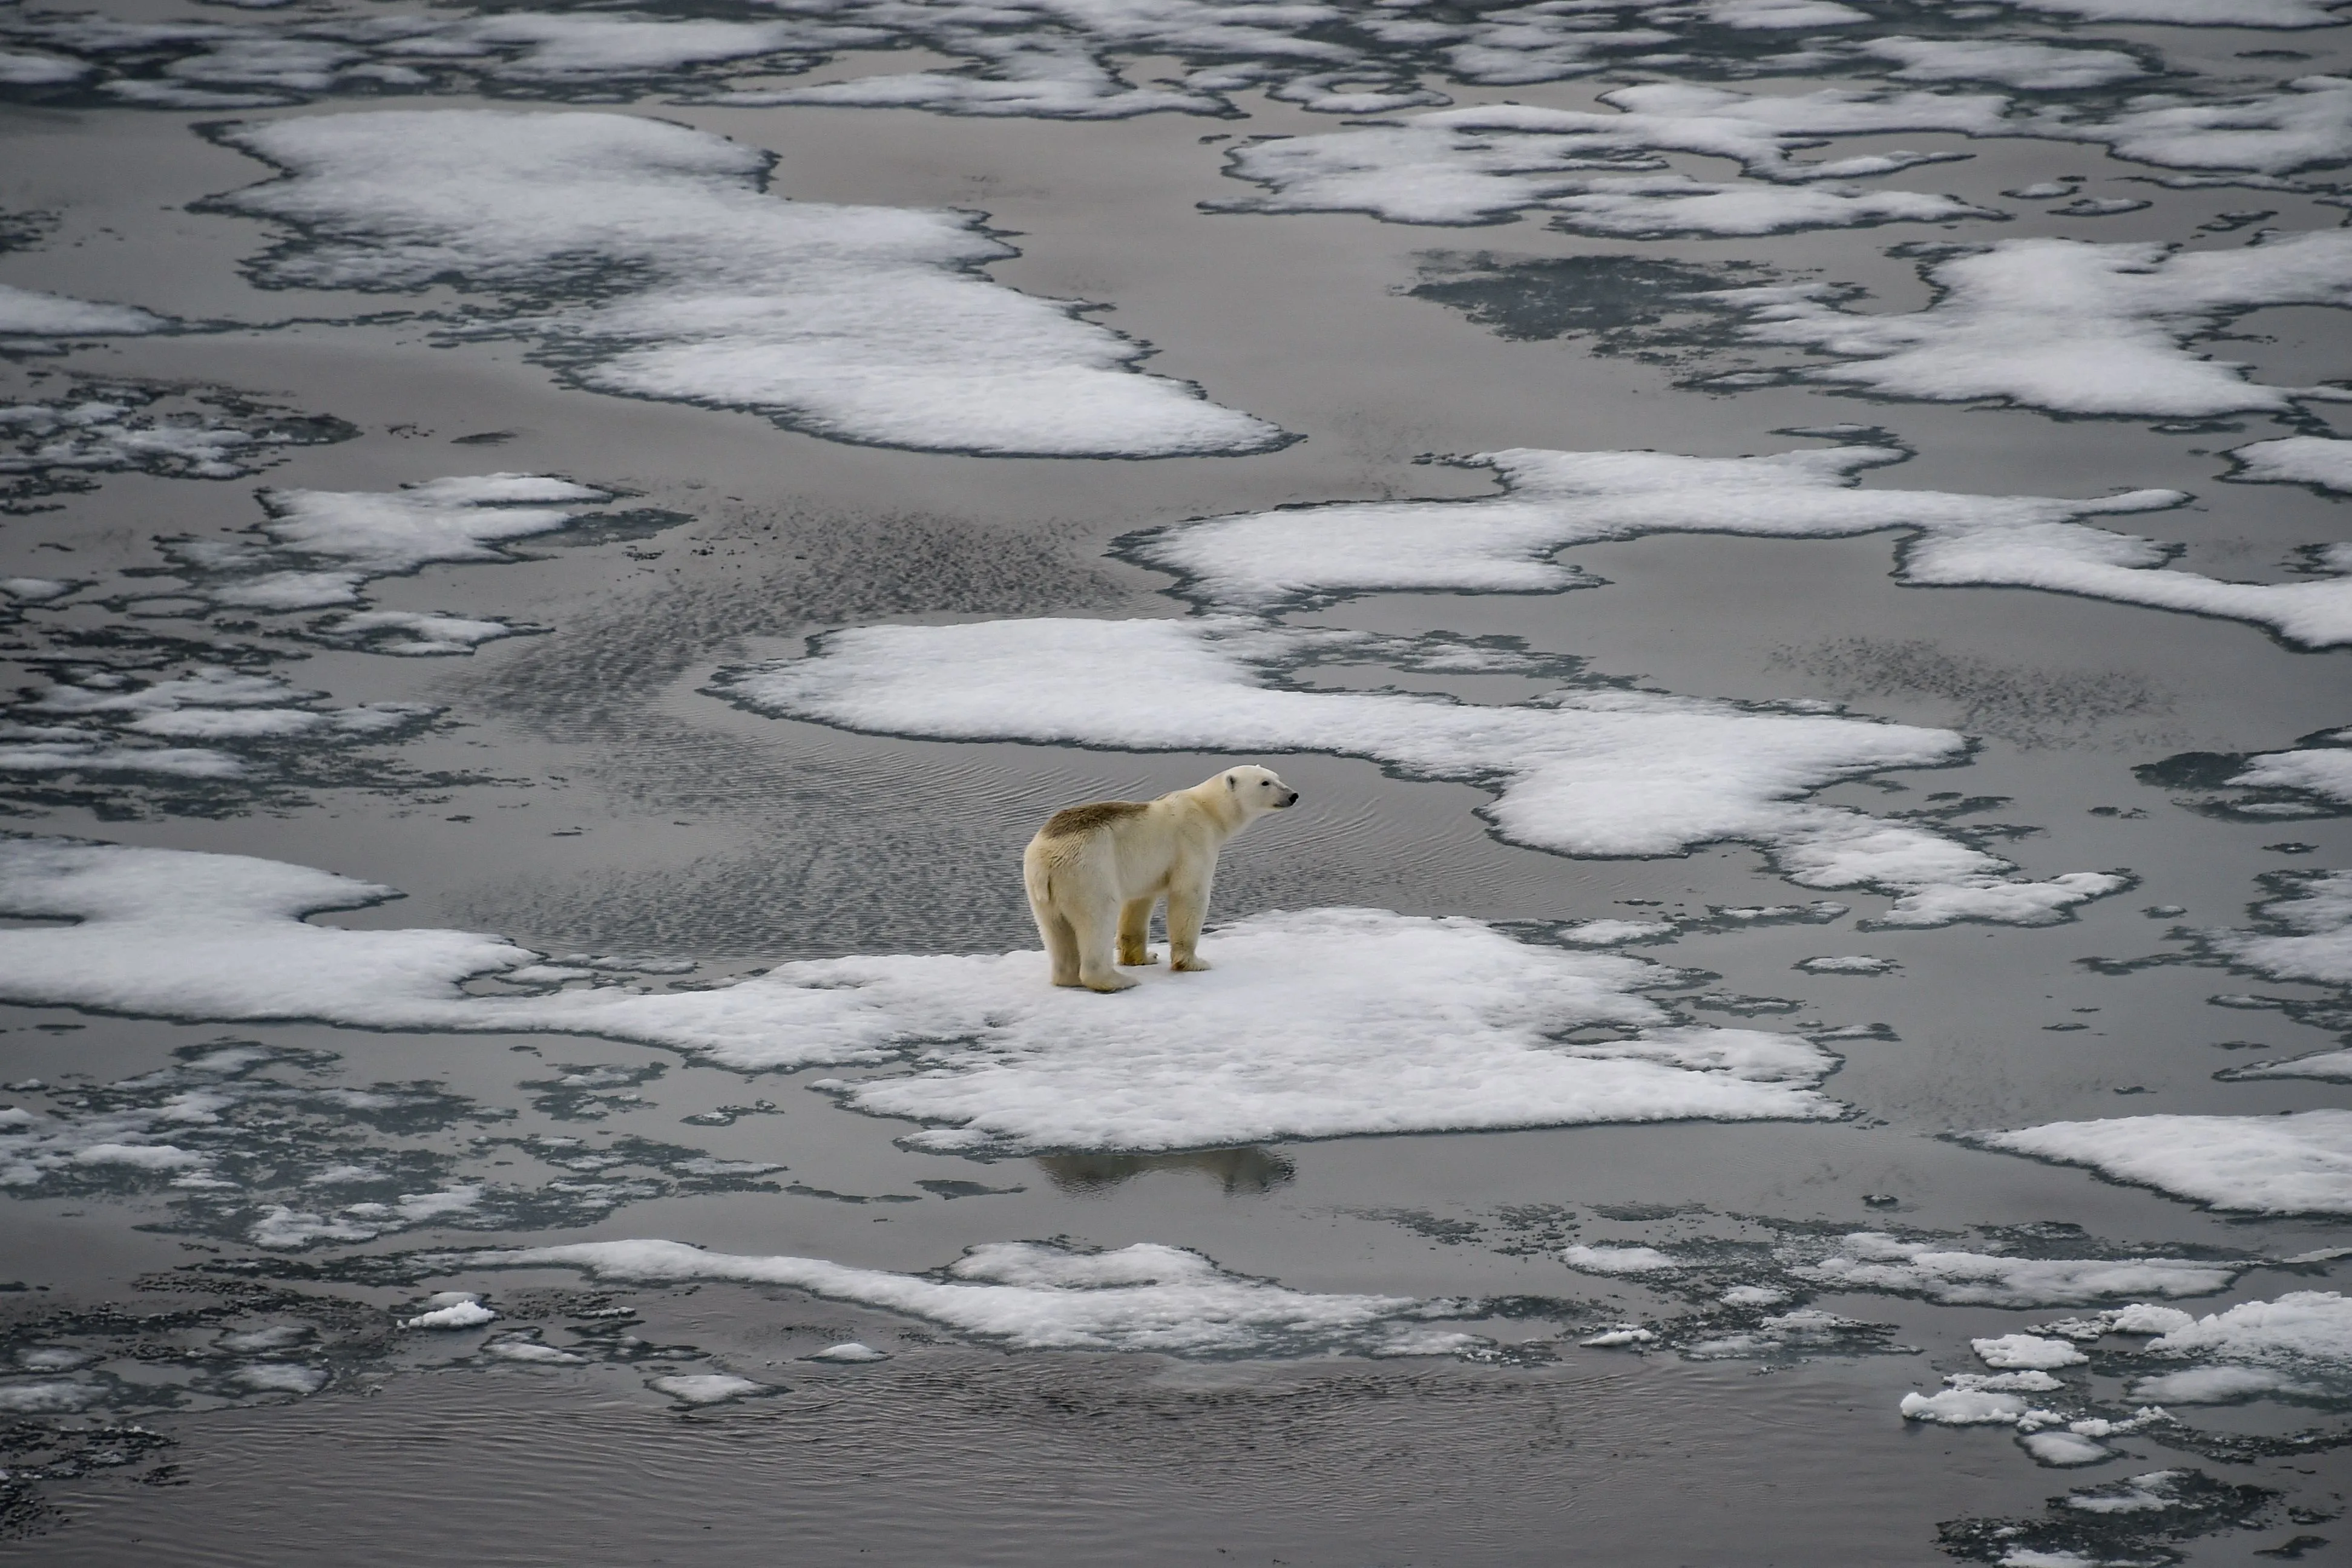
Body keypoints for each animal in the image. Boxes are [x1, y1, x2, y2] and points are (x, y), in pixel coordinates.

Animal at [1022, 764, 1299, 992]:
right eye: (1265, 783)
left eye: (1277, 777)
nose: (1293, 795)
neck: (1206, 809)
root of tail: (1045, 859)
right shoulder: (1193, 841)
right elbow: (1189, 895)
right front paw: (1194, 962)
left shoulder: (1145, 871)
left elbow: (1138, 905)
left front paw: (1145, 958)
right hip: (1088, 871)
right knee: (1098, 918)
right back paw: (1117, 981)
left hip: (1043, 889)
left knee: (1055, 929)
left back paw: (1068, 977)